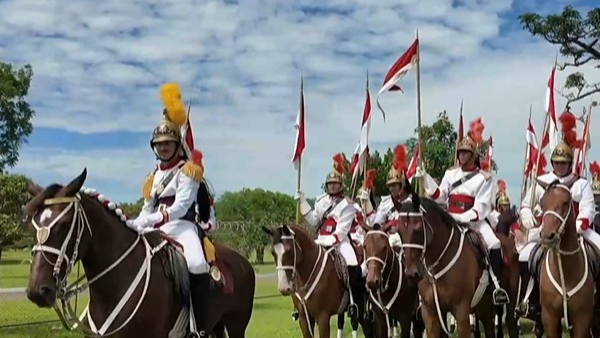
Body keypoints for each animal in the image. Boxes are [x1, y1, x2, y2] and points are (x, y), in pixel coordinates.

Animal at [392, 180, 494, 338]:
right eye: (399, 231)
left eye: (418, 228)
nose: (411, 274)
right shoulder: (430, 313)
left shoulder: (461, 312)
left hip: (486, 307)